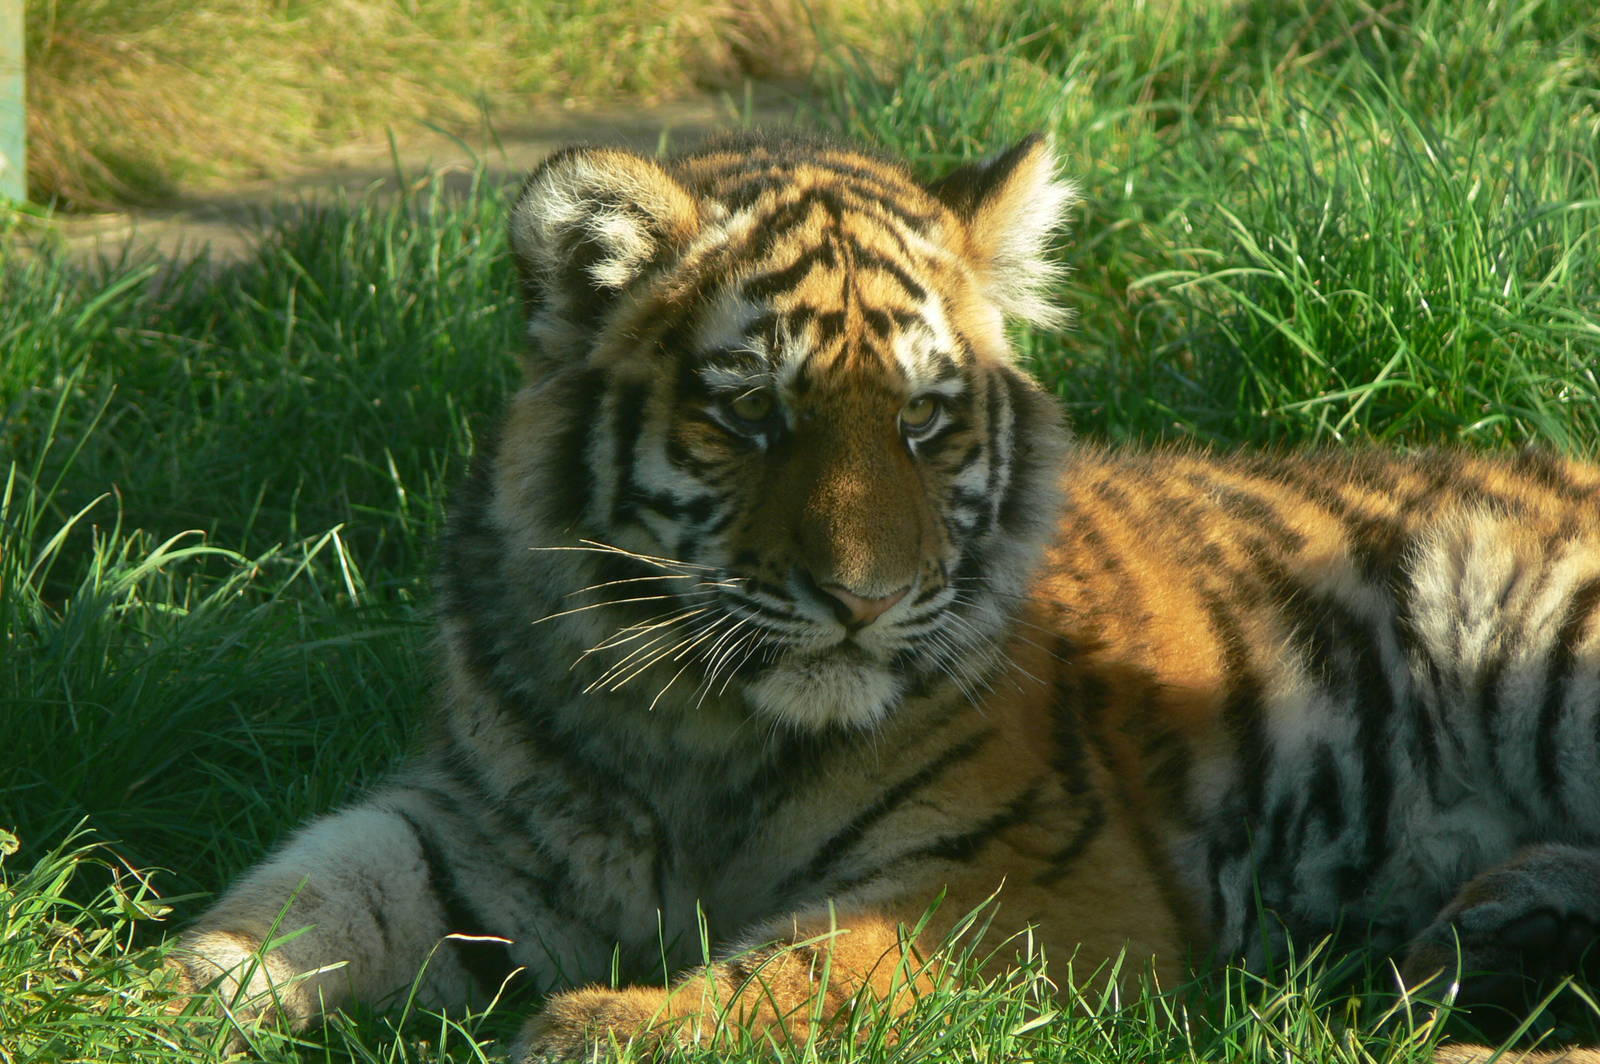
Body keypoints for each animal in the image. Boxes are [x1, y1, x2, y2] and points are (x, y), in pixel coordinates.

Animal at [172, 130, 1600, 1062]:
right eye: (753, 411)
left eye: (922, 417)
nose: (862, 598)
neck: (695, 725)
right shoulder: (474, 831)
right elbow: (294, 900)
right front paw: (160, 998)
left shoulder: (1021, 872)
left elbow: (810, 970)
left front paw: (607, 1027)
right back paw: (1488, 951)